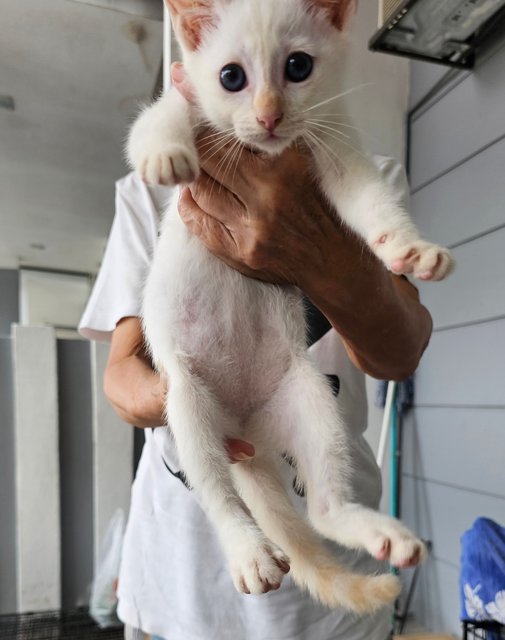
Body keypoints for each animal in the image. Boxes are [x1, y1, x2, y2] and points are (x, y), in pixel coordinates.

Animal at [127, 0, 448, 612]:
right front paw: (165, 154)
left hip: (308, 398)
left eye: (298, 67)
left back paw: (373, 531)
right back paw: (248, 551)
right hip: (188, 405)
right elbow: (157, 118)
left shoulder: (334, 145)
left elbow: (372, 200)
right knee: (217, 493)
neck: (265, 152)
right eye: (231, 76)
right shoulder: (186, 98)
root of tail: (248, 433)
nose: (270, 116)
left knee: (321, 509)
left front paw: (409, 247)